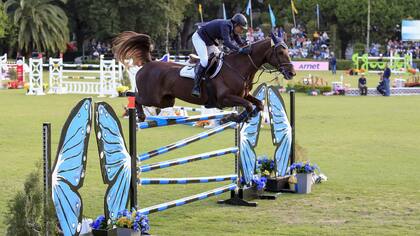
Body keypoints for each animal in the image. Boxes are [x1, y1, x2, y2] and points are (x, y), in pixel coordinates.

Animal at [113, 31, 294, 121]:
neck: (238, 68)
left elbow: (258, 104)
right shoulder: (225, 99)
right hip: (152, 97)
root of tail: (149, 64)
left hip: (166, 101)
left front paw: (246, 116)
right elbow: (248, 106)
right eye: (280, 52)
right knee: (133, 96)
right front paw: (232, 118)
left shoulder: (244, 95)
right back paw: (140, 115)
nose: (291, 72)